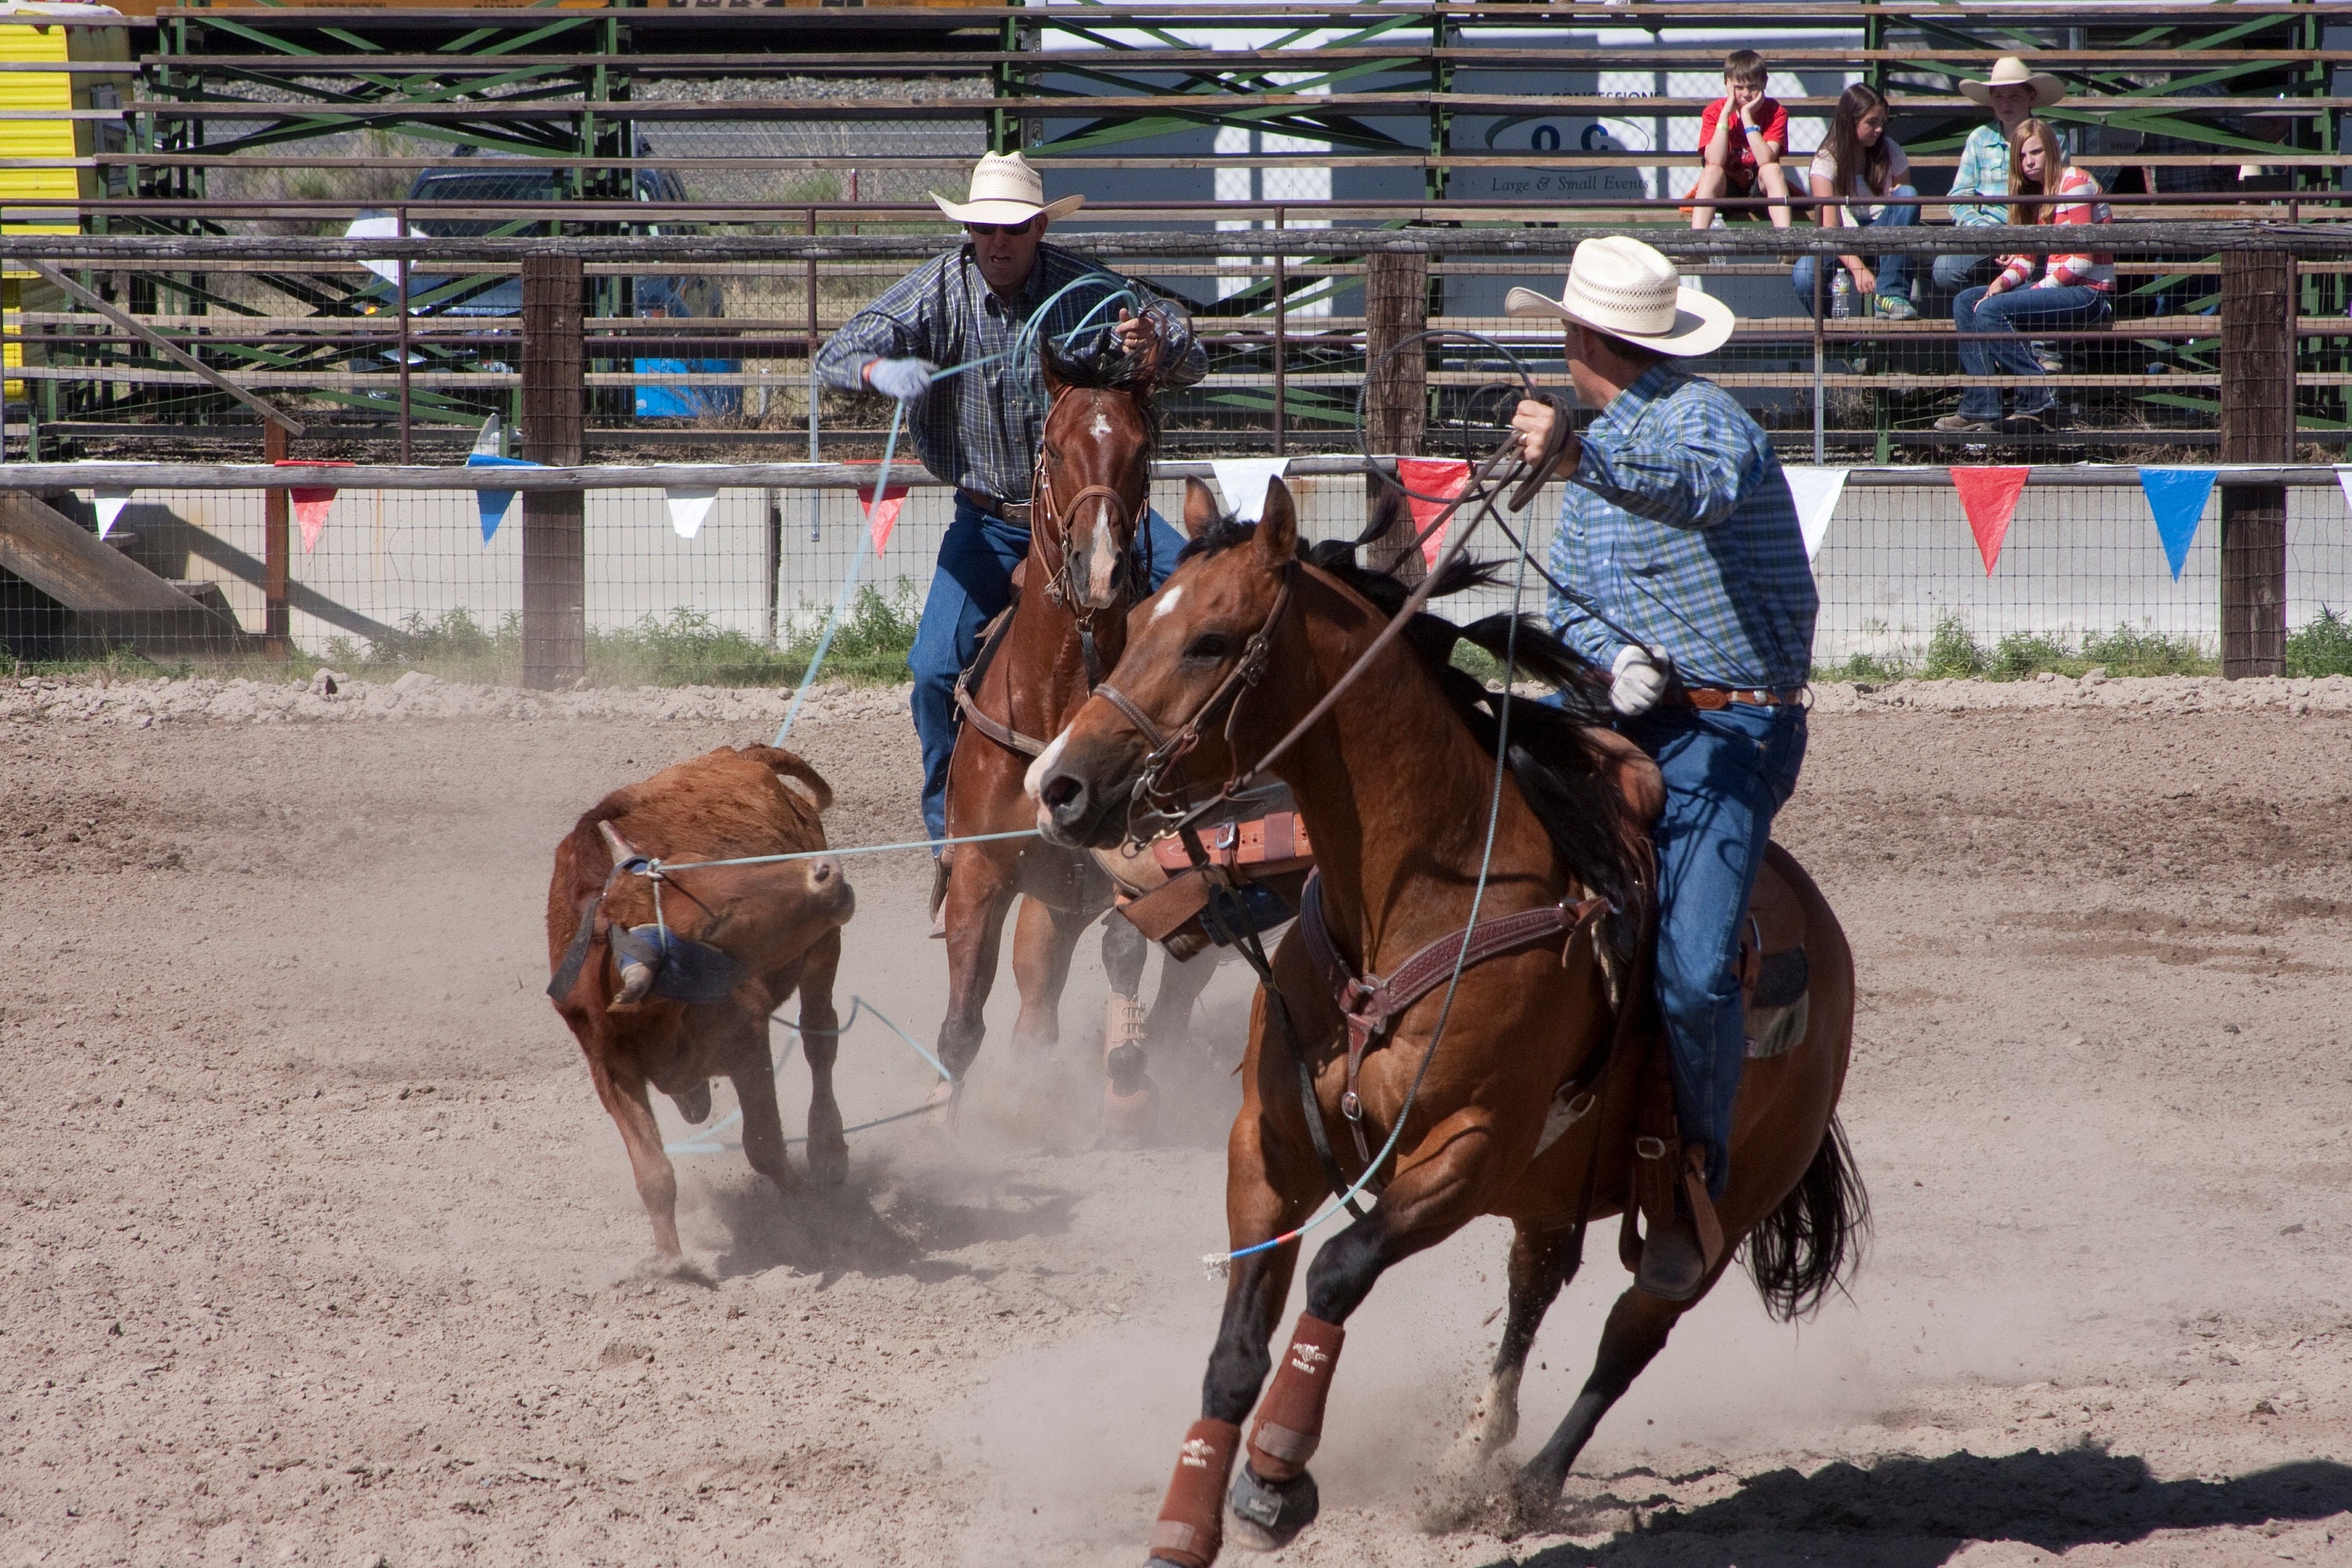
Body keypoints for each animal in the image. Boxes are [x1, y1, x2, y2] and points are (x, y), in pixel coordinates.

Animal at [546, 747, 861, 1260]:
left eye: (701, 863)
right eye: (712, 927)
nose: (824, 873)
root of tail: (742, 754)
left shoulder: (748, 1037)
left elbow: (764, 1145)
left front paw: (811, 1215)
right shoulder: (609, 1067)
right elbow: (653, 1173)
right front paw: (670, 1260)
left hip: (822, 949)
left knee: (820, 1042)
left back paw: (828, 1149)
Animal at [927, 331, 1214, 1133]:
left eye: (1142, 450)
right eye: (1052, 448)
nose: (1101, 569)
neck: (1057, 699)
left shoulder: (1139, 872)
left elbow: (1128, 953)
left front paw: (1127, 1073)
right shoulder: (982, 873)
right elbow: (964, 1017)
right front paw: (941, 1123)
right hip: (1048, 904)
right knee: (1035, 1012)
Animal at [1021, 481, 1863, 1568]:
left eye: (1211, 640)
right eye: (1133, 628)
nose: (1057, 784)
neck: (1422, 895)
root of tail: (1824, 933)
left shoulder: (1469, 1149)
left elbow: (1339, 1270)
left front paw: (1277, 1474)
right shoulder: (1267, 1145)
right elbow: (1234, 1350)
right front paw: (1188, 1516)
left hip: (1717, 1209)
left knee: (1631, 1332)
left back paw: (1530, 1482)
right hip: (1552, 1187)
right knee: (1534, 1287)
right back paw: (1474, 1455)